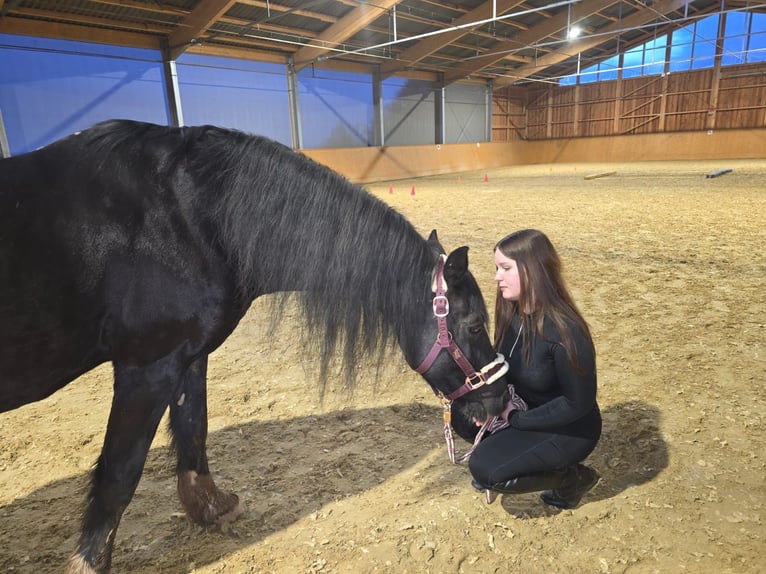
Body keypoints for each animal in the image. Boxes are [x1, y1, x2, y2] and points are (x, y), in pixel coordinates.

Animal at [0, 119, 510, 574]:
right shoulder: (145, 368)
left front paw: (212, 508)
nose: (500, 403)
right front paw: (90, 564)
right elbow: (117, 476)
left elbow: (194, 429)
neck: (191, 219)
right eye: (474, 325)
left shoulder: (187, 358)